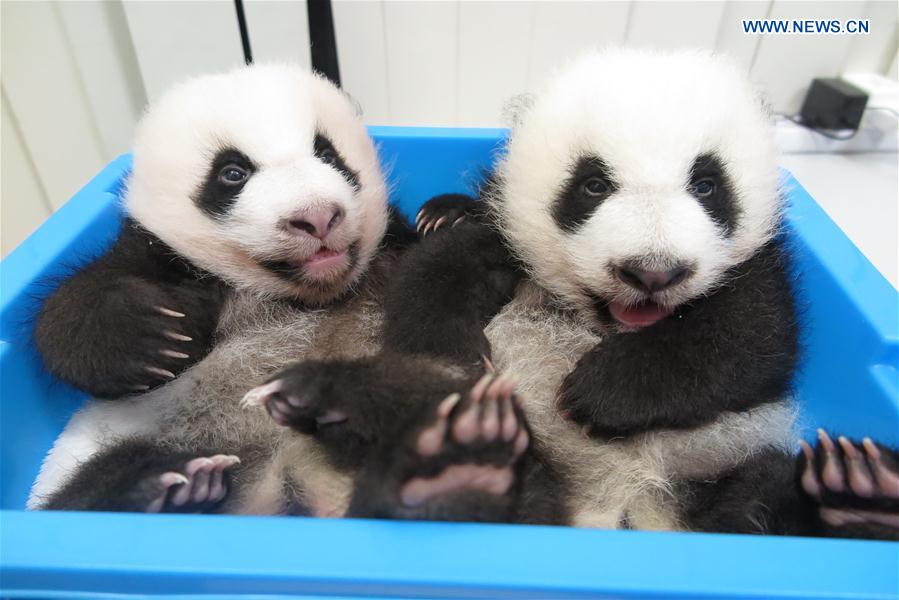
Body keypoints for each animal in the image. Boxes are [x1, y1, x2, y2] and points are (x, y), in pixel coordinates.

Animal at [29, 64, 420, 515]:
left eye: (327, 154)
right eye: (232, 173)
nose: (318, 216)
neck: (303, 296)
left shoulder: (391, 251)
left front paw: (444, 216)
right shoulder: (165, 257)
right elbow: (70, 315)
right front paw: (151, 339)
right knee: (90, 487)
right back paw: (171, 485)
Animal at [248, 49, 898, 538]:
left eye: (709, 184)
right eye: (591, 185)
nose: (652, 271)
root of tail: (615, 510)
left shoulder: (761, 263)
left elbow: (750, 339)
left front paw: (599, 391)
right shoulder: (508, 229)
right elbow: (437, 269)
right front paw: (457, 352)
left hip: (720, 461)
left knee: (757, 497)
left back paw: (857, 493)